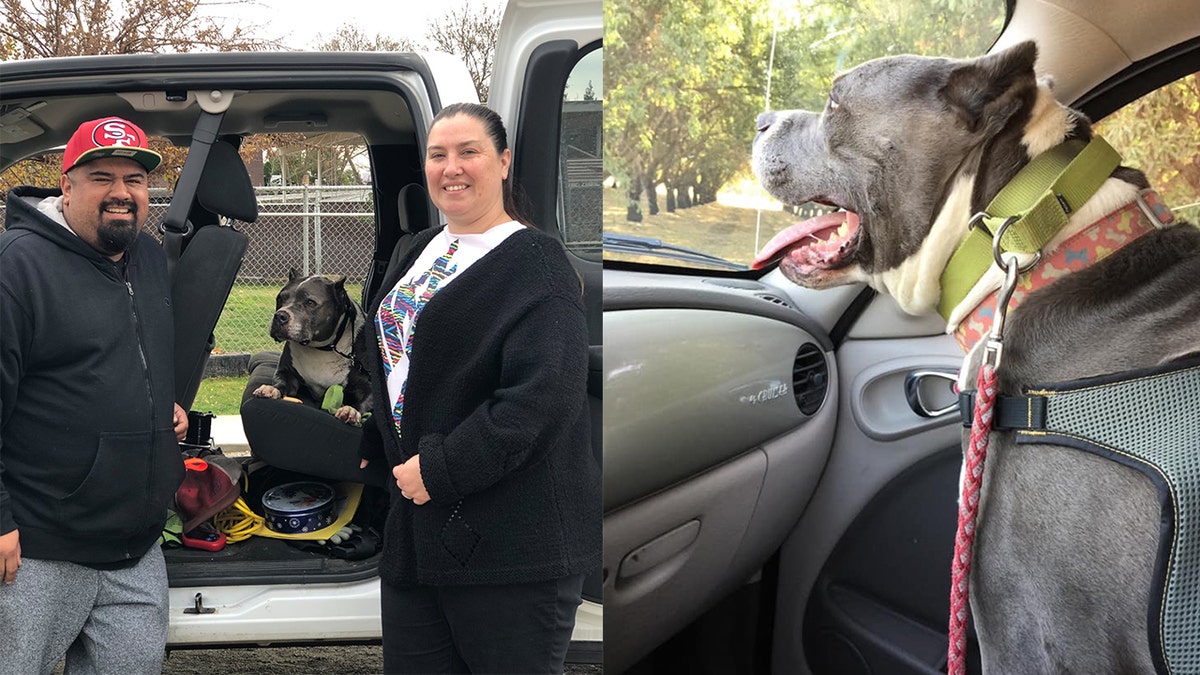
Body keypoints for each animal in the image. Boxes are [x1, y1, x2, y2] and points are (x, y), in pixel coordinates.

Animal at [249, 266, 369, 420]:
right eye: (280, 298)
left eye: (310, 302)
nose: (280, 315)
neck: (321, 348)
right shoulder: (286, 372)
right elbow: (281, 381)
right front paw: (272, 389)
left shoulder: (367, 386)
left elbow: (364, 400)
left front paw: (351, 410)